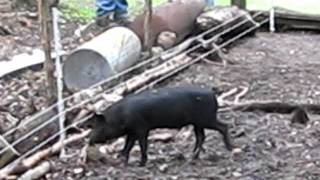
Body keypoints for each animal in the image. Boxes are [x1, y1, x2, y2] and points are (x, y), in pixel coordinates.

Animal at [87, 86, 232, 166]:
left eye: (99, 126)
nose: (89, 140)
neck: (120, 117)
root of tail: (213, 94)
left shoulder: (141, 128)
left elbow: (142, 144)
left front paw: (141, 163)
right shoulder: (132, 131)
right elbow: (128, 144)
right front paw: (122, 158)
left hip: (206, 119)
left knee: (223, 126)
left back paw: (229, 149)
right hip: (197, 123)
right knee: (201, 136)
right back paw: (192, 156)